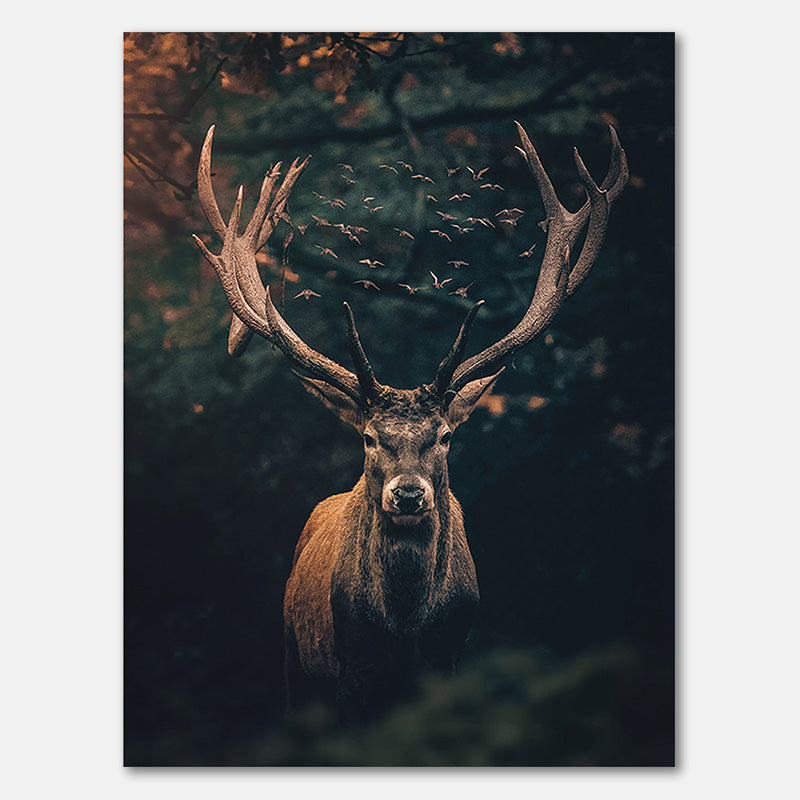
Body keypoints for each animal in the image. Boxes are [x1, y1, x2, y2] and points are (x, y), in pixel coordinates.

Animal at [192, 121, 628, 723]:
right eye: (369, 437)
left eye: (444, 436)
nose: (407, 494)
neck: (403, 630)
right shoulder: (350, 672)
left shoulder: (450, 657)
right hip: (294, 657)